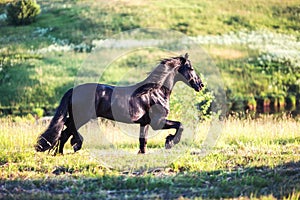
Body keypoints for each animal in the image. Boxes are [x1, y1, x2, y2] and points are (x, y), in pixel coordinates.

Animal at [34, 52, 204, 154]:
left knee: (63, 132)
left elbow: (143, 141)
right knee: (67, 130)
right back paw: (76, 144)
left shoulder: (145, 123)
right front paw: (169, 142)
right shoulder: (158, 122)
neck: (155, 92)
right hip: (82, 116)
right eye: (191, 68)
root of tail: (73, 90)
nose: (200, 85)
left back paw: (61, 153)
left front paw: (142, 153)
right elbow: (180, 125)